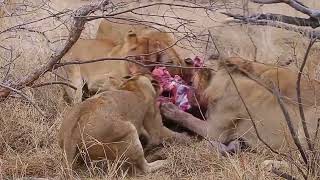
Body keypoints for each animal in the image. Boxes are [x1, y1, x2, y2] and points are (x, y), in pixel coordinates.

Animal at [62, 28, 190, 104]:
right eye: (138, 58)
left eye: (152, 63)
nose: (146, 75)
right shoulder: (96, 82)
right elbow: (117, 86)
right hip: (75, 79)